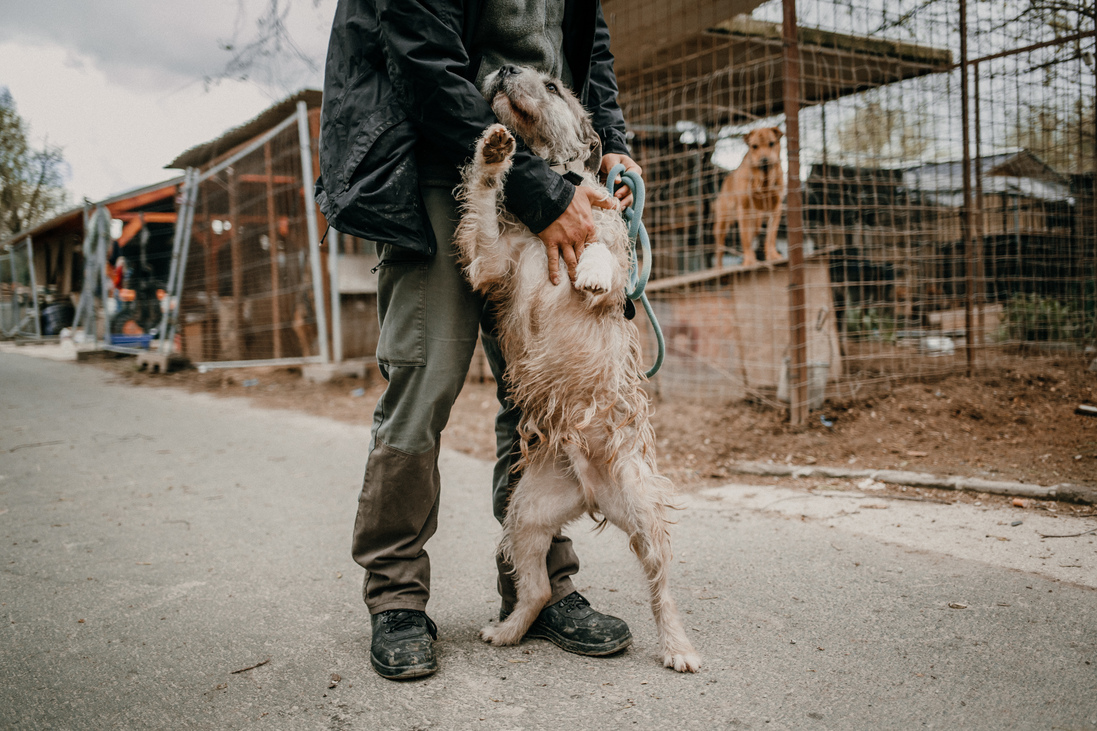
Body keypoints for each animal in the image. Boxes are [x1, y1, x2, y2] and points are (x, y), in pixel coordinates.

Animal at [454, 66, 702, 671]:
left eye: (552, 85)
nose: (504, 68)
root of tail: (591, 491)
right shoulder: (489, 262)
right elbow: (483, 196)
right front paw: (492, 151)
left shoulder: (613, 258)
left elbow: (607, 251)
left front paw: (588, 268)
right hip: (525, 513)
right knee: (539, 587)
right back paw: (508, 631)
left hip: (645, 510)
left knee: (662, 591)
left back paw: (679, 649)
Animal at [710, 126, 789, 266]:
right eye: (754, 146)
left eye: (771, 143)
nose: (764, 160)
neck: (764, 181)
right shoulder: (744, 210)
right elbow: (745, 239)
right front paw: (749, 261)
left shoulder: (776, 208)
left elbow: (771, 236)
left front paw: (773, 256)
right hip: (723, 222)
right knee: (720, 248)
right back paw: (719, 268)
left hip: (756, 221)